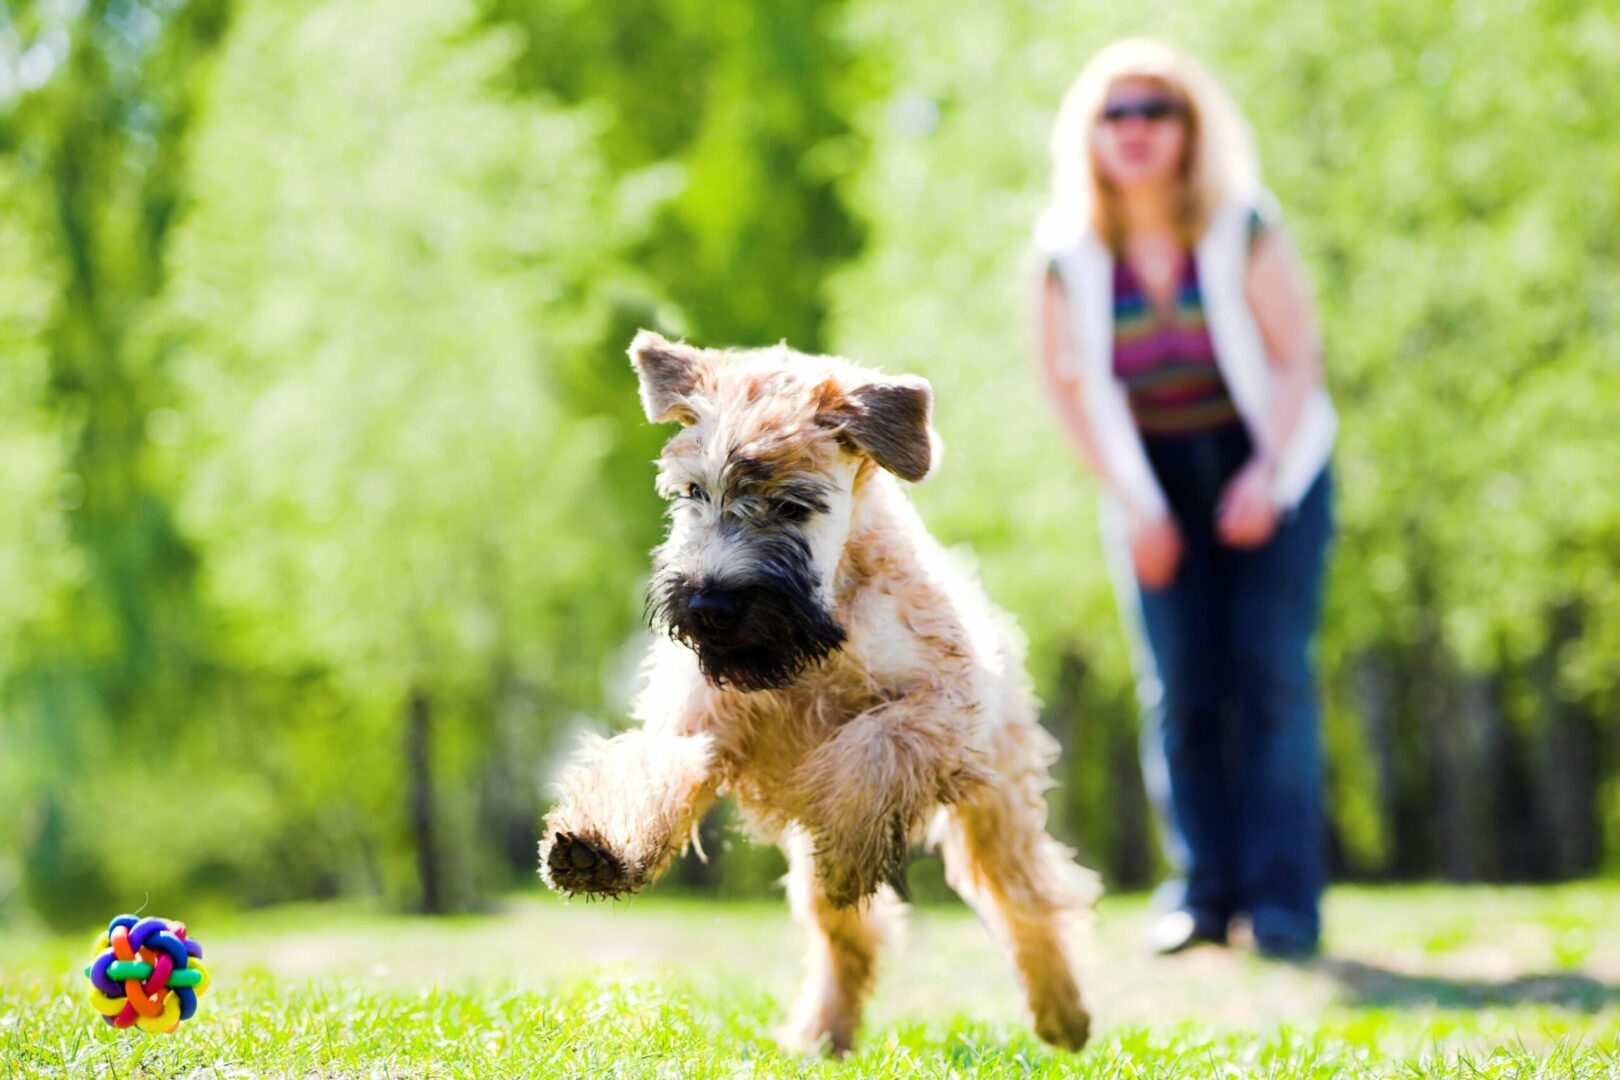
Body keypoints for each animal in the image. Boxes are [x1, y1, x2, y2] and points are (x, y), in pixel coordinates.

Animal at [537, 331, 1095, 1055]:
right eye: (693, 492)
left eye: (793, 505)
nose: (710, 605)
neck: (819, 633)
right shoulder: (694, 726)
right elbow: (649, 772)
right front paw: (596, 849)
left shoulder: (941, 707)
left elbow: (873, 745)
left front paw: (855, 842)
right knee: (849, 936)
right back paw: (824, 1034)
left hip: (1000, 812)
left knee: (1029, 901)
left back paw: (1063, 1014)